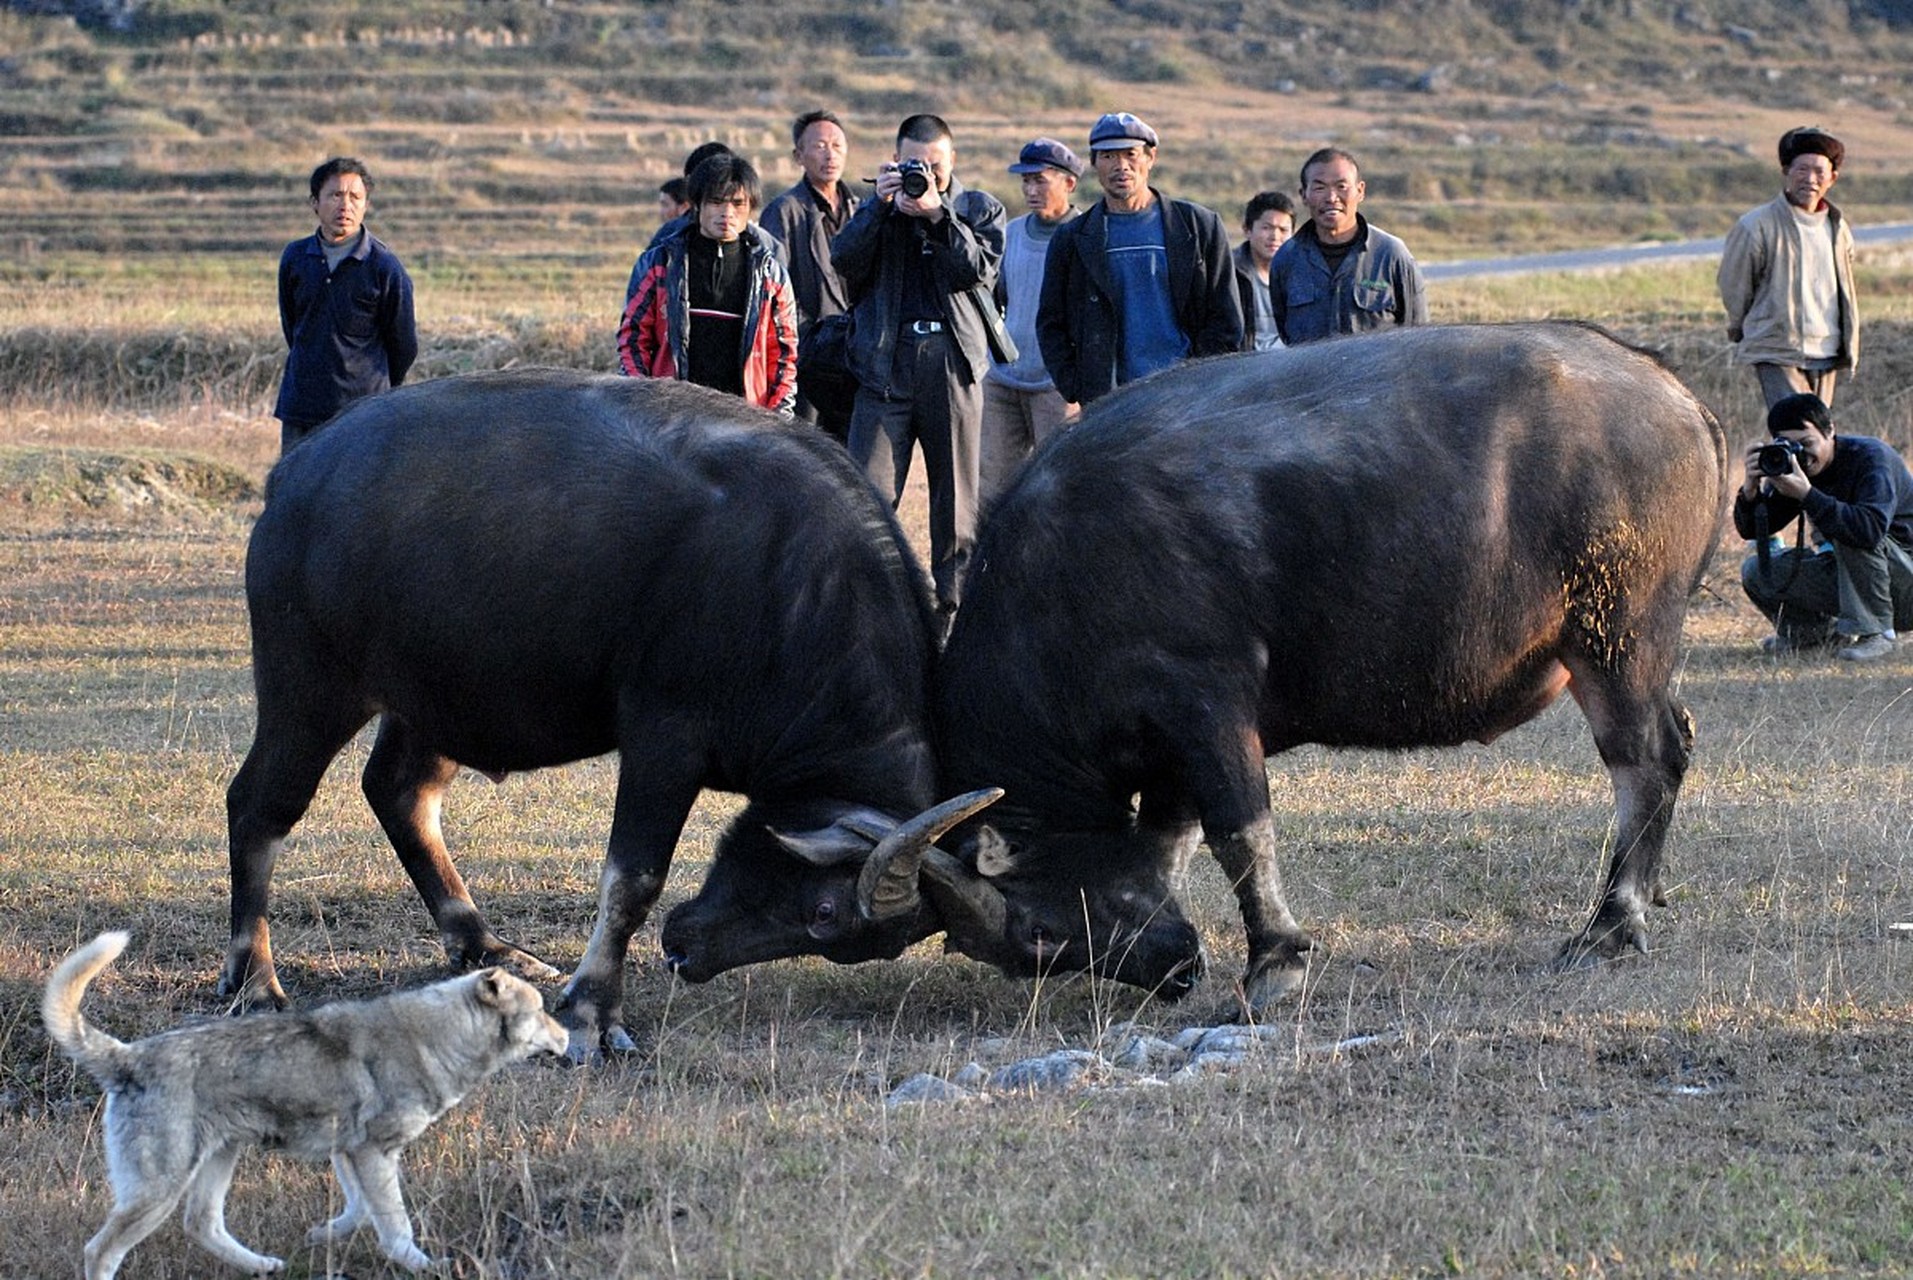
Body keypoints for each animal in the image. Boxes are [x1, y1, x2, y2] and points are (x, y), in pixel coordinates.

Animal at [44, 929, 566, 1278]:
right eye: (541, 1010)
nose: (568, 1038)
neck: (441, 1035)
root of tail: (126, 1057)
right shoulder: (373, 1153)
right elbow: (395, 1226)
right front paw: (423, 1265)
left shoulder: (350, 1153)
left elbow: (361, 1211)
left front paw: (321, 1236)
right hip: (159, 1188)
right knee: (101, 1251)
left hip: (218, 1159)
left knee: (202, 1224)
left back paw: (262, 1265)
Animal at [221, 369, 994, 1048]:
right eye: (824, 911)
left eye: (838, 934)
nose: (685, 953)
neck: (793, 589)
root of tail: (296, 474)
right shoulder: (664, 739)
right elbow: (633, 879)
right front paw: (596, 1010)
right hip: (311, 687)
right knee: (260, 805)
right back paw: (254, 978)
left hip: (432, 696)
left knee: (399, 792)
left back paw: (483, 944)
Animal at [925, 319, 1737, 1010]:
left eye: (1038, 934)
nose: (1174, 971)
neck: (1063, 577)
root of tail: (1672, 392)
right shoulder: (1169, 751)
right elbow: (1166, 843)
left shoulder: (1205, 706)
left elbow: (1239, 833)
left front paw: (1274, 962)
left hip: (1615, 638)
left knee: (1645, 758)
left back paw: (1612, 924)